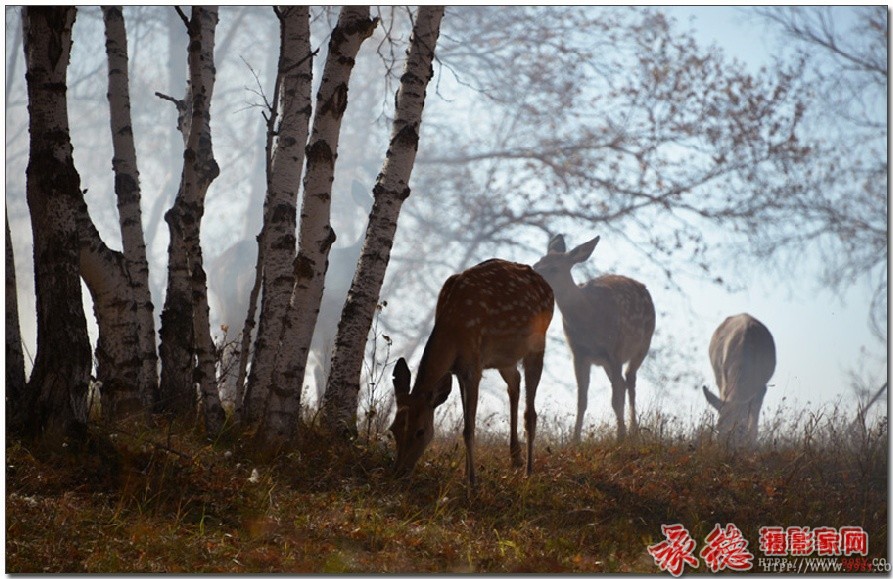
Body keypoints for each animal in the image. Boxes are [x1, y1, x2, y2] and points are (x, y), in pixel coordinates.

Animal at [388, 260, 556, 488]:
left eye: (420, 431)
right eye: (393, 428)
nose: (399, 472)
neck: (453, 328)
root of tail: (548, 287)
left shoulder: (473, 365)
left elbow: (469, 428)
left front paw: (473, 482)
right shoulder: (459, 370)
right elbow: (466, 421)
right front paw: (466, 474)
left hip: (537, 343)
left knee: (530, 412)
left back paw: (528, 472)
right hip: (504, 357)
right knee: (515, 382)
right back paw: (516, 459)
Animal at [528, 233, 656, 442]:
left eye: (554, 268)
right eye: (536, 265)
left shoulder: (615, 348)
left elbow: (615, 398)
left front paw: (620, 437)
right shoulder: (578, 353)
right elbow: (582, 399)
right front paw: (575, 440)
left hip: (644, 343)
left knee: (629, 380)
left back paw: (633, 431)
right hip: (605, 361)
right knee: (621, 383)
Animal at [704, 312, 772, 448]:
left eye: (741, 429)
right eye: (718, 426)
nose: (724, 446)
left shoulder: (761, 387)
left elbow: (754, 420)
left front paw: (752, 443)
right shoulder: (723, 378)